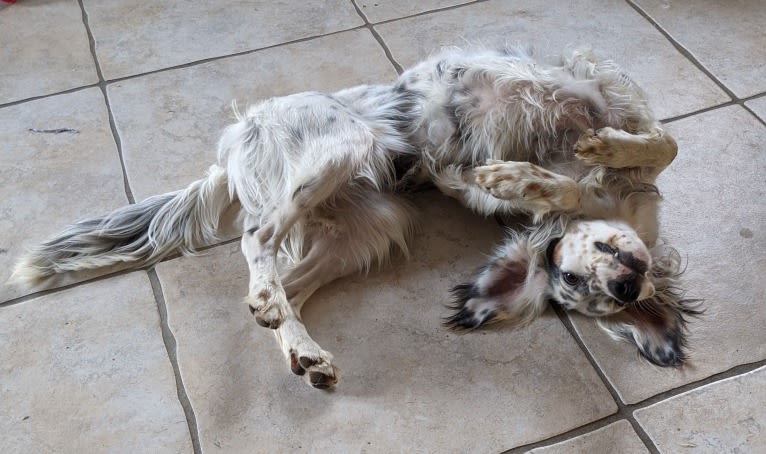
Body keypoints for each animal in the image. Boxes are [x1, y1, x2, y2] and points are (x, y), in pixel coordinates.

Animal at [10, 46, 704, 388]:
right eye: (574, 278)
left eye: (598, 302)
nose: (628, 285)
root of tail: (233, 144)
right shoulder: (595, 85)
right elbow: (662, 143)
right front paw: (549, 168)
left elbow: (554, 185)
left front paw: (523, 179)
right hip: (341, 148)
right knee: (256, 238)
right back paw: (276, 307)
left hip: (374, 221)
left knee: (281, 292)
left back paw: (302, 350)